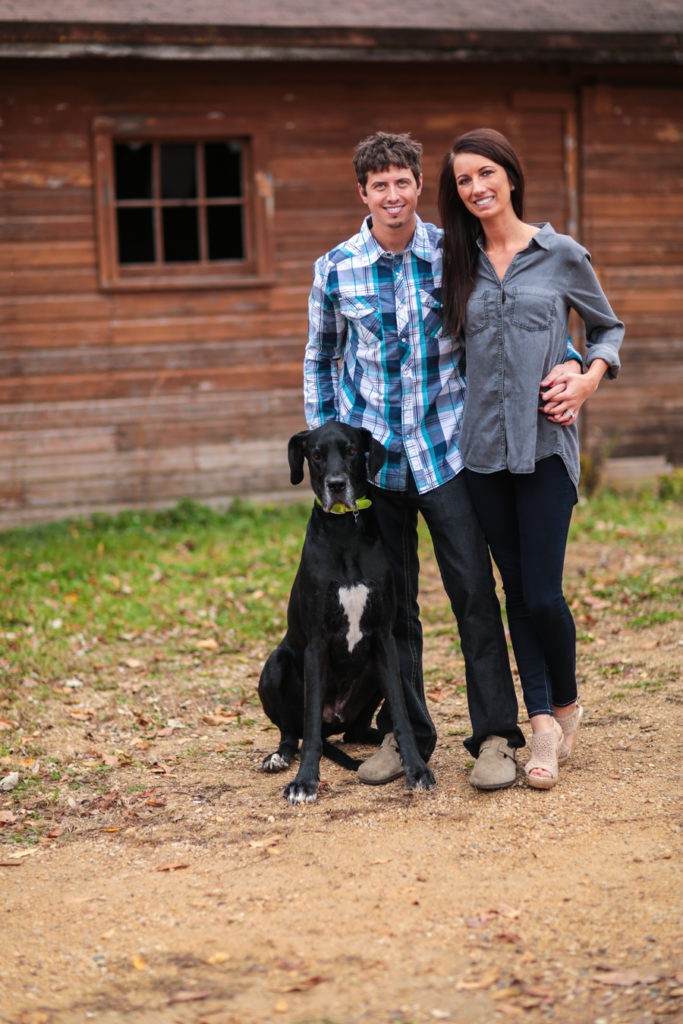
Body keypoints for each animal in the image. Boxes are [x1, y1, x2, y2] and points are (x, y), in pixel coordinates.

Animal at [259, 419, 436, 802]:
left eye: (353, 450)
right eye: (315, 455)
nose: (337, 485)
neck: (344, 530)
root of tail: (335, 720)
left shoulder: (384, 640)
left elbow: (402, 715)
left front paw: (416, 769)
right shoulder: (315, 645)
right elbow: (309, 728)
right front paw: (304, 782)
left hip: (377, 673)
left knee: (354, 730)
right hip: (274, 667)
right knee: (293, 731)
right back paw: (279, 757)